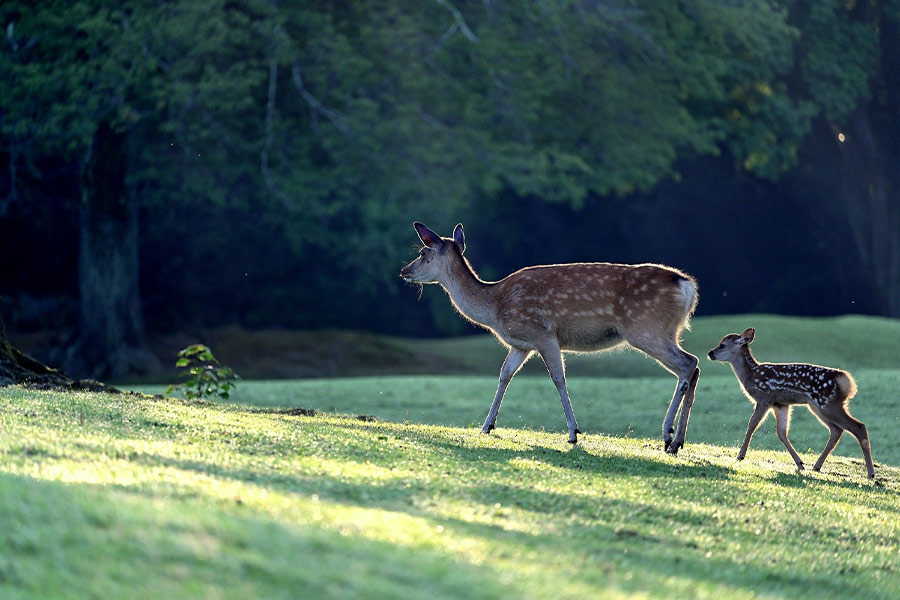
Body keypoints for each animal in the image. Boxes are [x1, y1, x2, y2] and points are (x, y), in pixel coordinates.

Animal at [399, 222, 700, 452]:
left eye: (423, 253)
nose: (404, 271)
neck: (495, 306)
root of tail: (687, 286)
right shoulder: (521, 345)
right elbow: (504, 375)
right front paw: (486, 426)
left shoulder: (543, 334)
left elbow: (558, 378)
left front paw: (573, 433)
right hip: (665, 332)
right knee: (693, 366)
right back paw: (678, 441)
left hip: (645, 329)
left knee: (688, 363)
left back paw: (668, 434)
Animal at [708, 328, 875, 478]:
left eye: (722, 345)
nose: (710, 353)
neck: (751, 375)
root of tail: (846, 381)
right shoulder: (781, 404)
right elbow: (781, 432)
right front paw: (800, 464)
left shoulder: (764, 398)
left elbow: (752, 424)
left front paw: (740, 456)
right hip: (818, 406)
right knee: (836, 430)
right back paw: (816, 466)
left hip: (828, 403)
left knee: (858, 427)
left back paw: (871, 474)